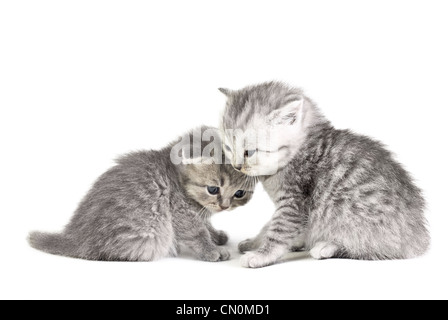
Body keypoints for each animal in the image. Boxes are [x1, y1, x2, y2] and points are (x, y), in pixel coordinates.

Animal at [28, 126, 254, 262]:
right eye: (213, 189)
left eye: (239, 193)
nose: (224, 206)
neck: (175, 177)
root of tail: (76, 238)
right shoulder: (180, 212)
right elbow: (197, 232)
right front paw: (211, 249)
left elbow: (206, 224)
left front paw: (216, 236)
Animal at [220, 80, 430, 268]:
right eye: (228, 148)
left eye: (249, 152)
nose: (237, 166)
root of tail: (419, 236)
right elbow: (269, 225)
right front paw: (255, 242)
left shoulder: (294, 203)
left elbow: (279, 231)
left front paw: (261, 254)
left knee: (369, 249)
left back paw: (327, 247)